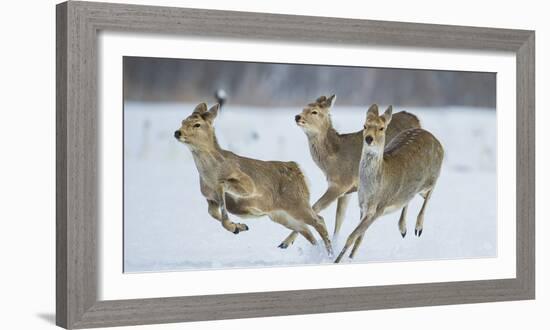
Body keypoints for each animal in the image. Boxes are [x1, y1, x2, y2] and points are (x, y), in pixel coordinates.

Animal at [175, 102, 334, 254]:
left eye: (197, 124)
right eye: (183, 121)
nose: (177, 132)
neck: (210, 175)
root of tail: (298, 170)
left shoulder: (248, 184)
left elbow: (223, 188)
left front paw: (236, 225)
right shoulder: (209, 198)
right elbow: (213, 214)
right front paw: (239, 227)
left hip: (297, 203)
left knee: (319, 221)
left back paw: (330, 253)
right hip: (279, 215)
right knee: (306, 230)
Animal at [296, 94, 420, 244]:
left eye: (314, 111)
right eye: (303, 108)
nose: (297, 116)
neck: (332, 160)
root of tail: (416, 118)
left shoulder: (341, 183)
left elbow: (315, 207)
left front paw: (285, 242)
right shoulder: (347, 191)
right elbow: (339, 218)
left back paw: (404, 228)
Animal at [334, 105, 446, 262]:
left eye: (382, 128)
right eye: (365, 125)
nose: (369, 138)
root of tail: (436, 140)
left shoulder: (379, 208)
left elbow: (352, 236)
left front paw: (336, 261)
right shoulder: (362, 206)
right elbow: (359, 238)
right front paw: (349, 259)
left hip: (431, 178)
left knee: (430, 193)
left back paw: (418, 228)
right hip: (413, 190)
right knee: (410, 198)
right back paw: (403, 229)